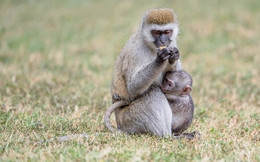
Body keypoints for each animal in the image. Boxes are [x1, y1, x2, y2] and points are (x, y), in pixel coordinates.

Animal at [109, 7, 181, 137]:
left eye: (167, 32)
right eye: (156, 32)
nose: (163, 41)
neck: (150, 46)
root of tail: (120, 125)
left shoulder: (172, 43)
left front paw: (174, 56)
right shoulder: (136, 51)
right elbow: (133, 86)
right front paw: (159, 59)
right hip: (129, 120)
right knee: (153, 93)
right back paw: (168, 136)